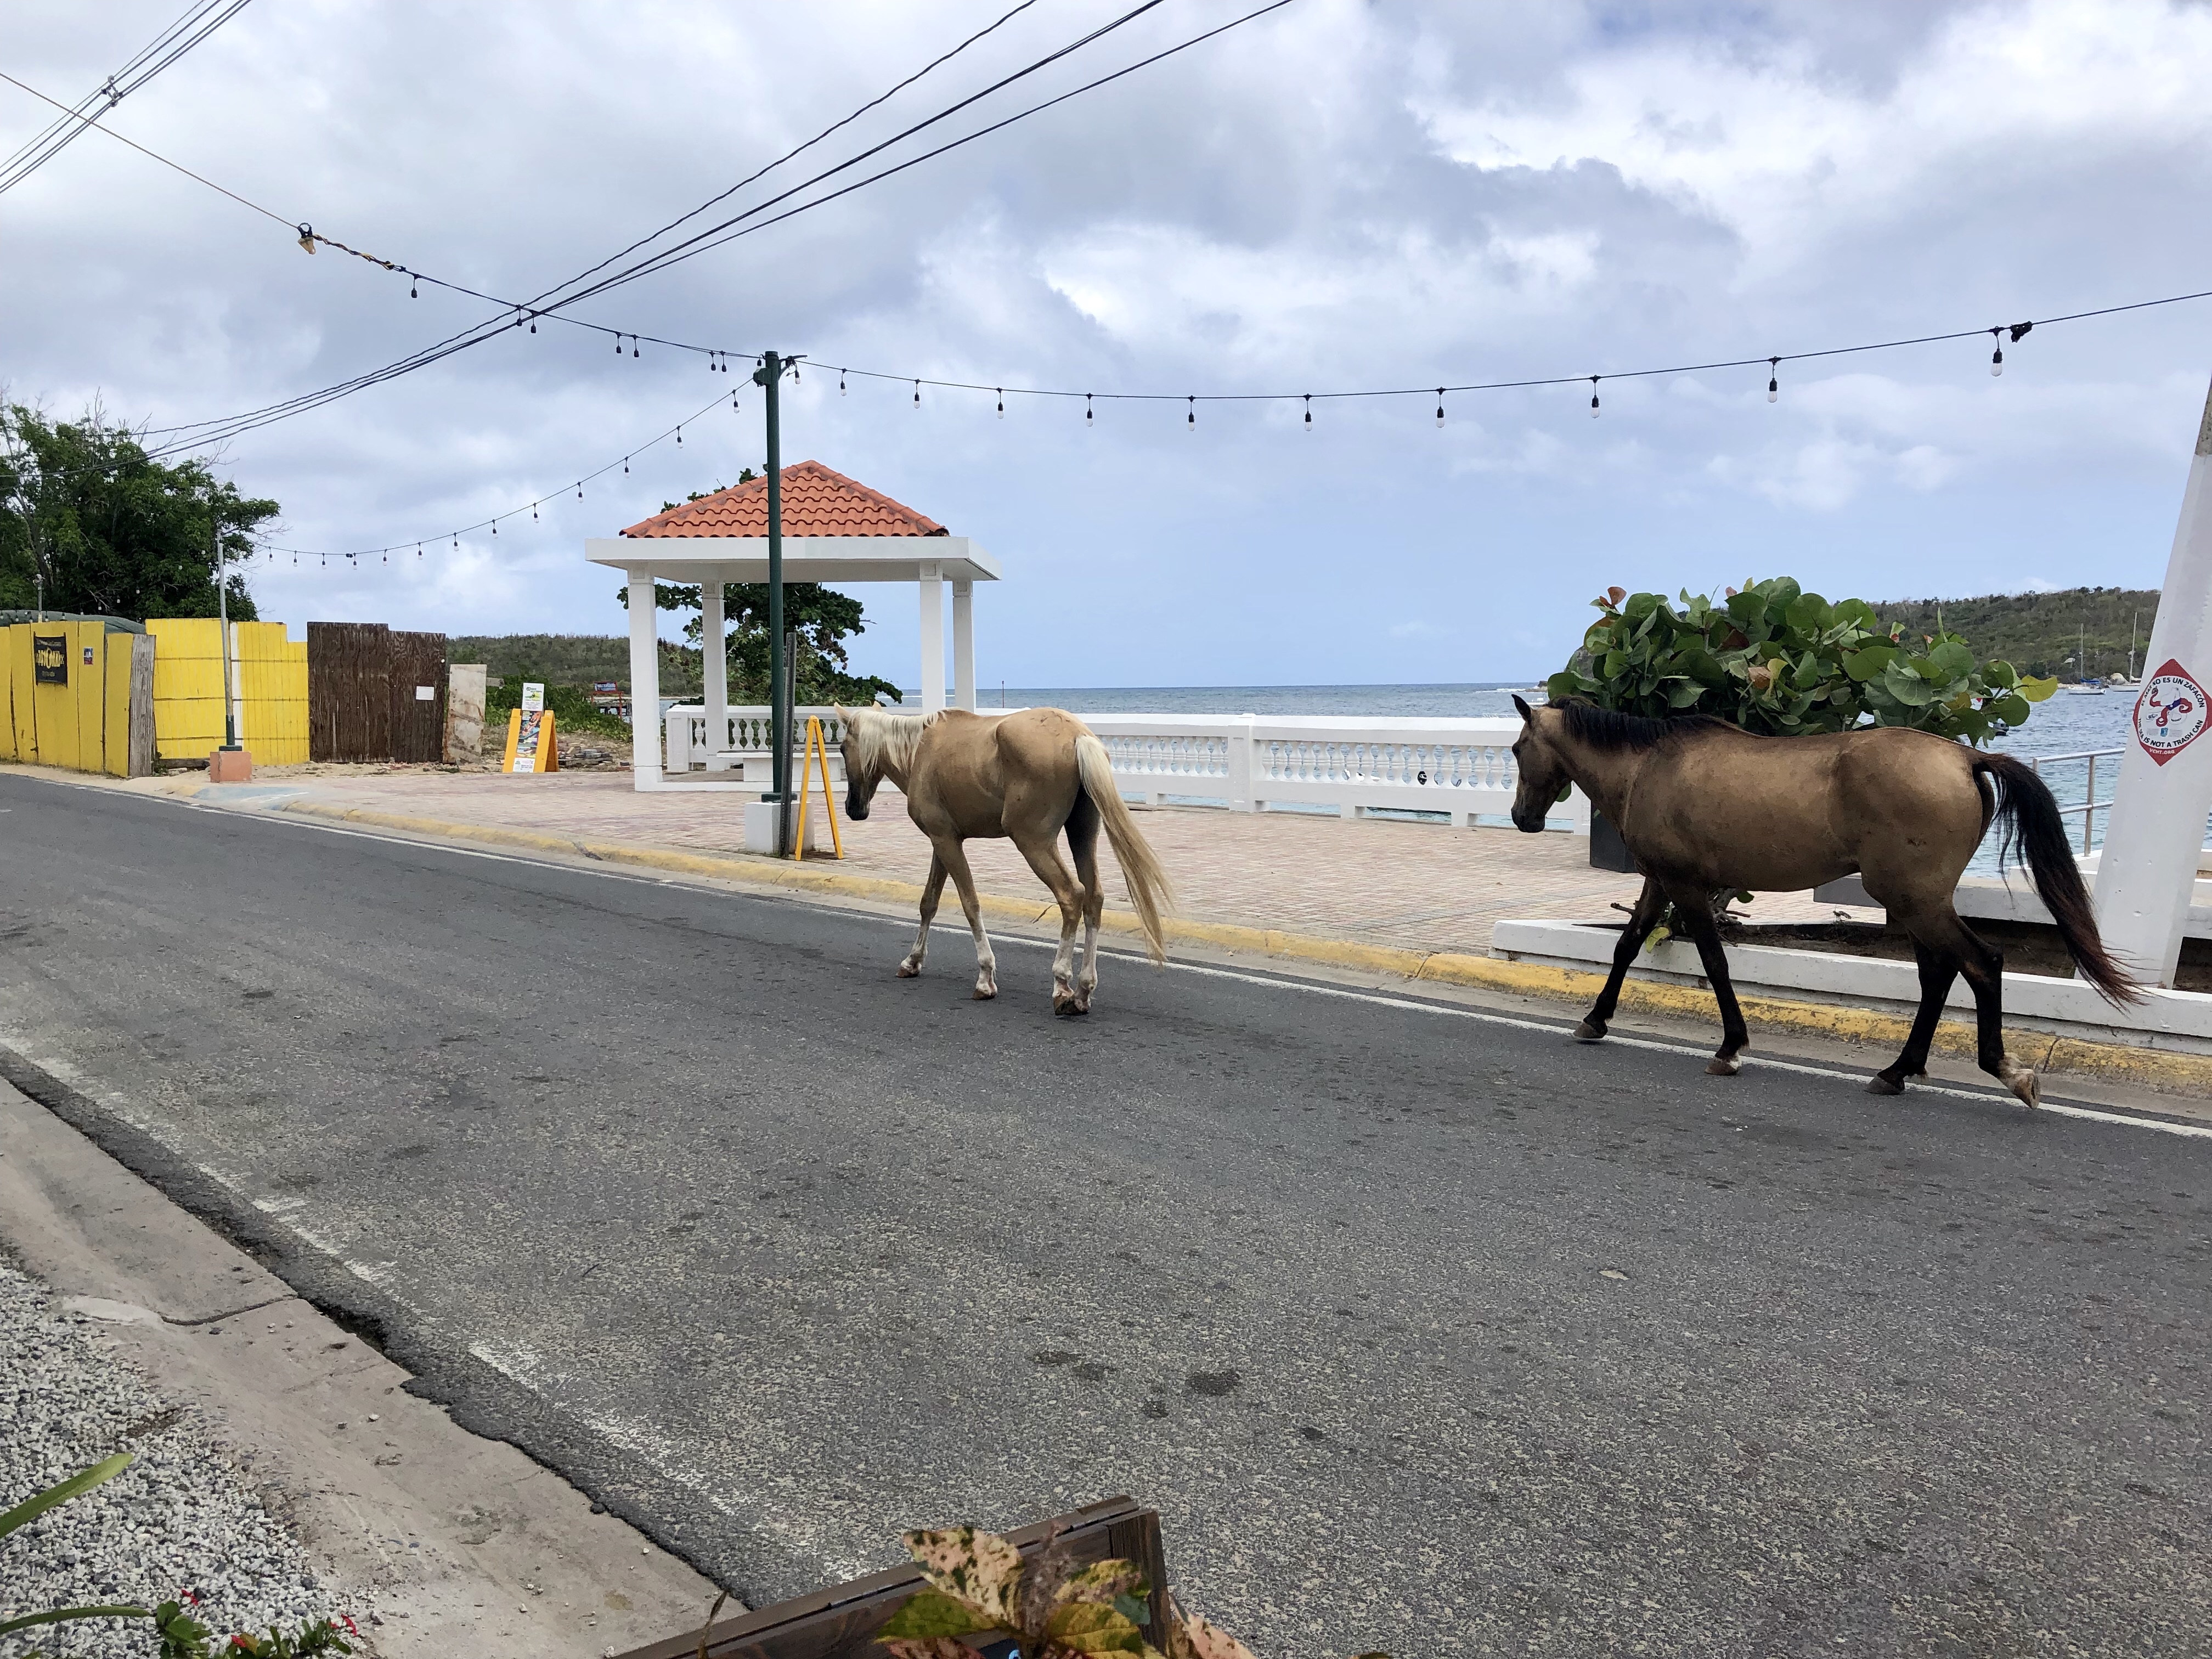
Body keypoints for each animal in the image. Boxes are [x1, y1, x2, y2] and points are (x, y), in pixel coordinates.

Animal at [836, 704, 1172, 1013]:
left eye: (840, 748)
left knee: (1071, 895)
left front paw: (985, 977)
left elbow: (970, 904)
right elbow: (929, 902)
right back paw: (1083, 991)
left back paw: (1062, 983)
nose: (853, 808)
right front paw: (913, 961)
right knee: (1093, 898)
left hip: (1033, 842)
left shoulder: (946, 842)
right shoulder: (942, 842)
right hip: (1082, 836)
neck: (921, 750)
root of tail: (1077, 736)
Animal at [1506, 695, 2138, 1106]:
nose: (1522, 818)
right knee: (1939, 974)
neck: (1648, 766)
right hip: (1917, 902)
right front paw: (1595, 1019)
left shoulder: (1685, 887)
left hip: (1915, 899)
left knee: (1981, 964)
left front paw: (1730, 1046)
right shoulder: (1660, 880)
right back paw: (1898, 1071)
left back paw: (2001, 1069)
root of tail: (1963, 758)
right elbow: (1628, 944)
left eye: (1516, 748)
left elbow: (1714, 962)